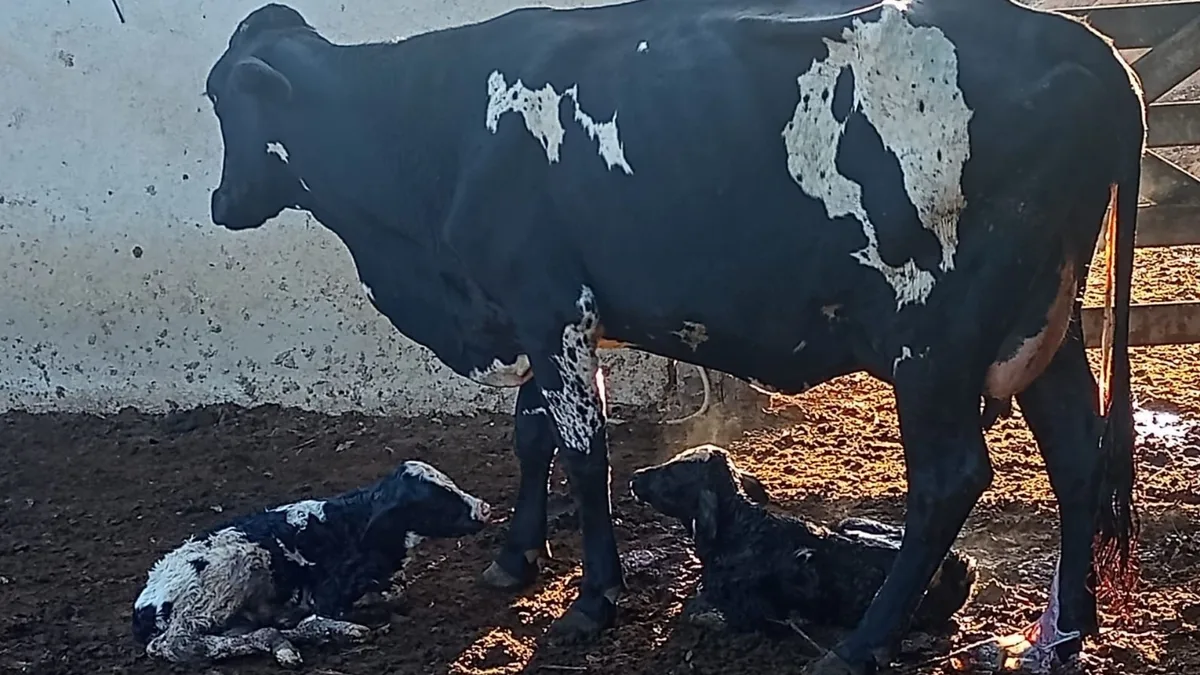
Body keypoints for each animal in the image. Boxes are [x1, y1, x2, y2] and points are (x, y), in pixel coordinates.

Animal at [132, 460, 493, 666]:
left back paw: (284, 642)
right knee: (176, 645)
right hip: (224, 578)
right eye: (436, 501)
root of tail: (145, 603)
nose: (484, 508)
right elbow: (321, 613)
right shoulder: (325, 594)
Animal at [629, 444, 977, 635]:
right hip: (852, 522)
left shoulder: (752, 610)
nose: (635, 476)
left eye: (672, 473)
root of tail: (960, 565)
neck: (739, 529)